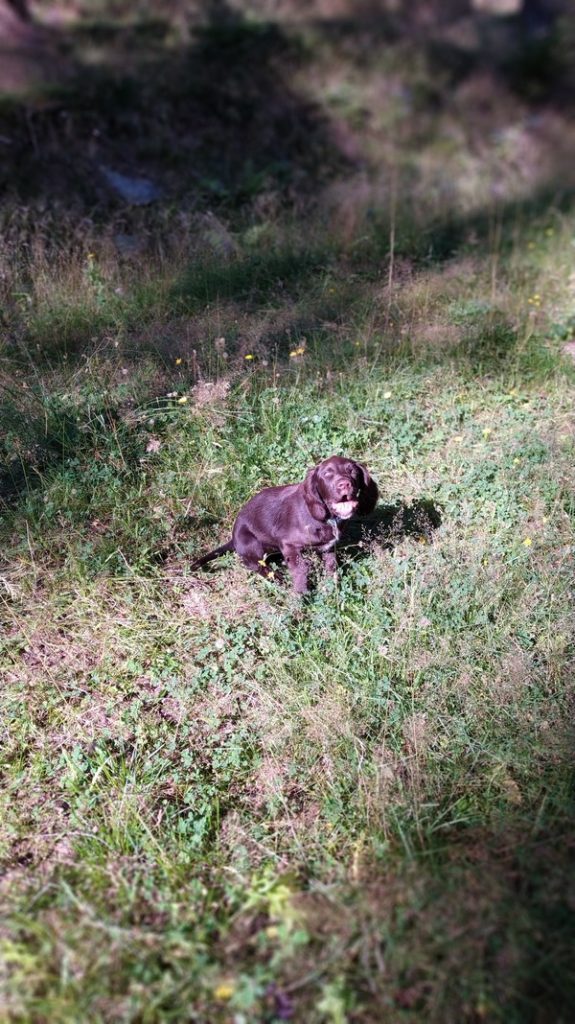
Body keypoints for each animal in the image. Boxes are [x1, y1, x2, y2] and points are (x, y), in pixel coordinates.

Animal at [191, 456, 378, 593]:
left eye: (352, 471)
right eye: (327, 474)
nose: (345, 484)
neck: (327, 517)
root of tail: (233, 539)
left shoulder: (328, 547)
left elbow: (331, 568)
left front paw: (332, 589)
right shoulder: (289, 545)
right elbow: (300, 571)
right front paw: (301, 597)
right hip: (251, 544)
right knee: (258, 566)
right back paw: (279, 580)